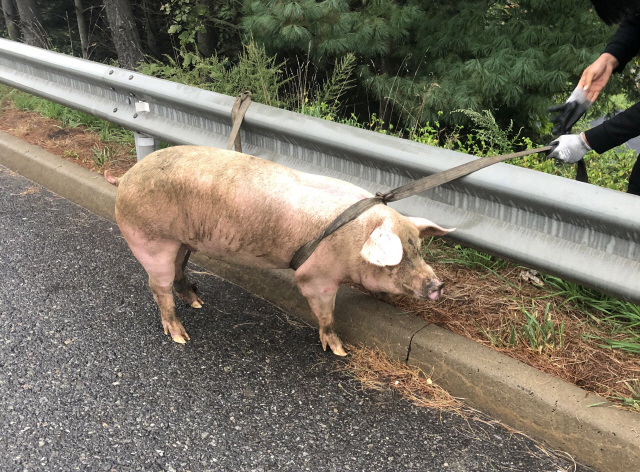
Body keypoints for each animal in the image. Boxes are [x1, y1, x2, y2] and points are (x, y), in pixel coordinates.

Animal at [106, 146, 456, 356]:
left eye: (418, 248)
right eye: (397, 259)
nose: (437, 285)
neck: (354, 239)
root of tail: (125, 176)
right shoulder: (316, 276)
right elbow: (326, 312)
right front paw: (340, 351)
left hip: (179, 242)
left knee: (179, 272)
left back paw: (197, 302)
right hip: (150, 239)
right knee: (157, 285)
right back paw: (181, 337)